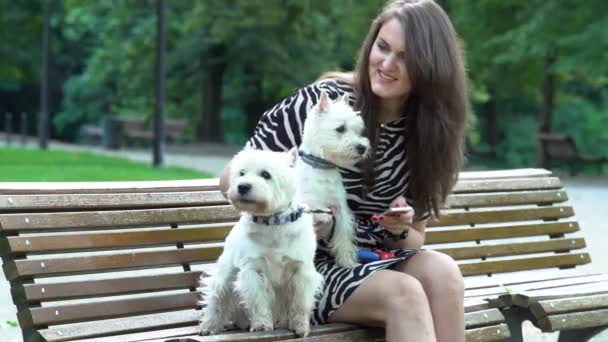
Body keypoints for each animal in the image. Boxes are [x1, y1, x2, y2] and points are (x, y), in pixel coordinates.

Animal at [200, 149, 324, 336]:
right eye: (241, 173)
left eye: (266, 174)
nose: (242, 186)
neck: (272, 222)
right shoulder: (253, 269)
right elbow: (258, 300)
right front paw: (261, 325)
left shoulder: (301, 270)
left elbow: (300, 302)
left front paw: (300, 326)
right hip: (225, 274)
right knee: (217, 299)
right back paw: (209, 326)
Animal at [294, 92, 370, 268]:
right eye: (340, 128)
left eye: (358, 130)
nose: (362, 148)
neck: (322, 167)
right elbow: (309, 201)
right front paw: (322, 214)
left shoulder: (341, 209)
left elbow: (343, 236)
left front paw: (347, 261)